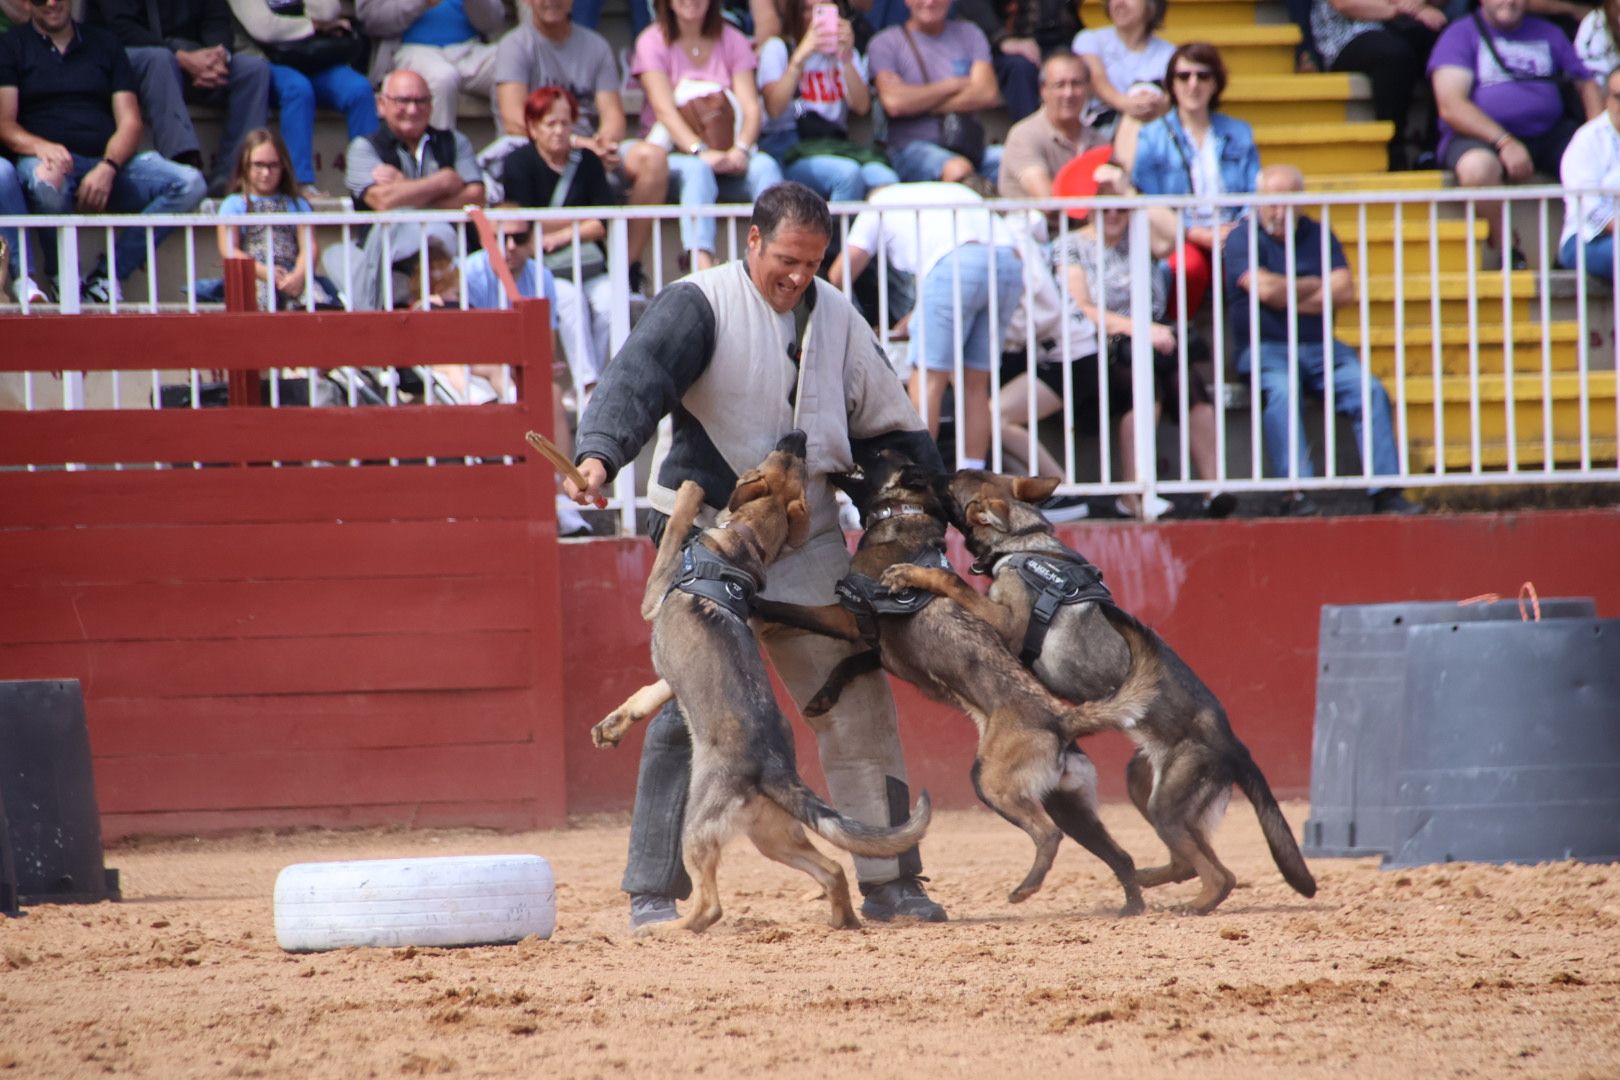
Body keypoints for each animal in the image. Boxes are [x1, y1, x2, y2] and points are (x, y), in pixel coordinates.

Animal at [589, 433, 933, 932]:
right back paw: (842, 921)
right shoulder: (671, 667)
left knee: (709, 906)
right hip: (772, 836)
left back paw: (662, 930)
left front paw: (689, 491)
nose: (799, 437)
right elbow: (648, 692)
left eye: (777, 458)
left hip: (700, 827)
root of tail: (773, 769)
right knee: (832, 869)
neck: (743, 542)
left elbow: (675, 530)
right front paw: (612, 726)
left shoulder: (653, 595)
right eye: (795, 463)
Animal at [758, 446, 1166, 913]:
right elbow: (846, 665)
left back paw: (1026, 888)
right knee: (1120, 855)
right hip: (1072, 806)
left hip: (992, 782)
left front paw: (757, 603)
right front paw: (822, 696)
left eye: (877, 453)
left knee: (1048, 835)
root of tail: (1061, 718)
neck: (904, 514)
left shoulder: (844, 614)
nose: (843, 448)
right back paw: (1130, 905)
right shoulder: (875, 648)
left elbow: (792, 610)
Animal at [887, 469, 1315, 913]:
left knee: (1217, 875)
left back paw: (1191, 904)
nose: (929, 472)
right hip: (1142, 784)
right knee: (1190, 864)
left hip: (1166, 805)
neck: (1024, 540)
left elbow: (952, 580)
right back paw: (1143, 881)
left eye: (952, 482)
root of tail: (1233, 745)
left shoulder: (1004, 624)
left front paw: (912, 574)